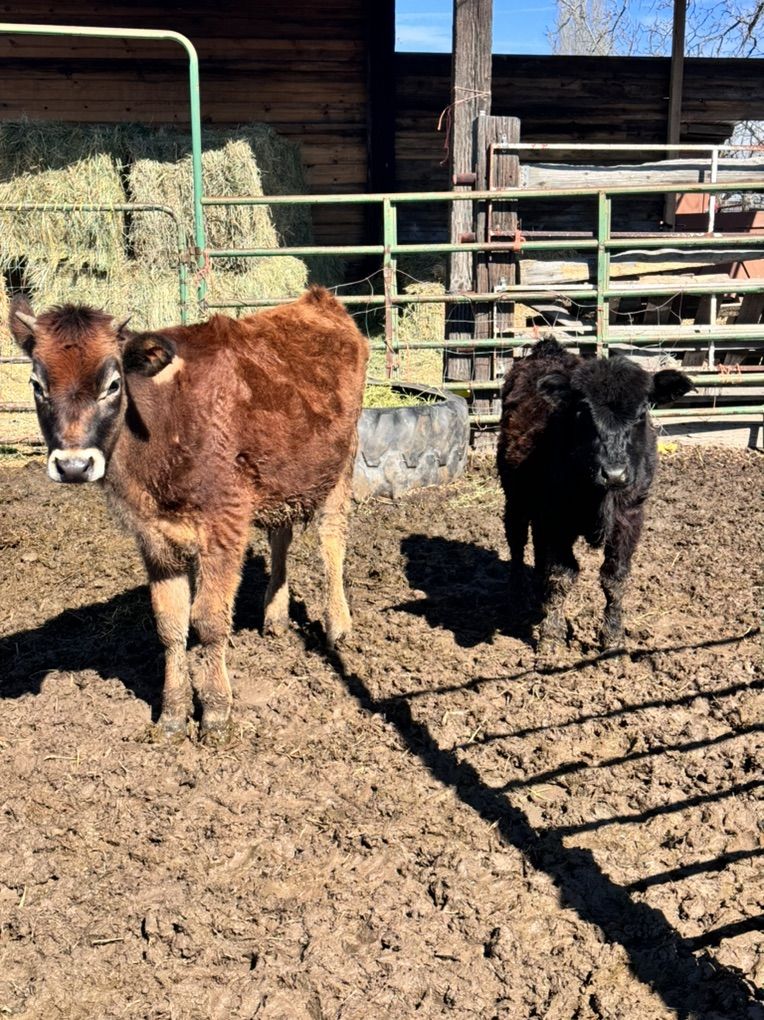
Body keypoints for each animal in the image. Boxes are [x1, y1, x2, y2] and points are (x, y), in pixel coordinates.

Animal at [11, 287, 368, 742]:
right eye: (37, 384)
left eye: (113, 384)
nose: (74, 466)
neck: (165, 427)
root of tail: (317, 301)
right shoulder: (154, 537)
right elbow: (170, 624)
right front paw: (173, 714)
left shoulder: (224, 524)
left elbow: (209, 620)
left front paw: (216, 713)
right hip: (278, 476)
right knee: (281, 537)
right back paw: (274, 616)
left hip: (343, 462)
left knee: (332, 541)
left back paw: (338, 625)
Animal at [496, 337, 693, 661]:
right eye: (583, 411)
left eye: (642, 412)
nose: (613, 474)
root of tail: (547, 349)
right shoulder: (556, 520)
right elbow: (561, 576)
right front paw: (551, 639)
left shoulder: (630, 517)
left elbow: (614, 578)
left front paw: (612, 639)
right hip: (515, 497)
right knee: (517, 542)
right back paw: (517, 596)